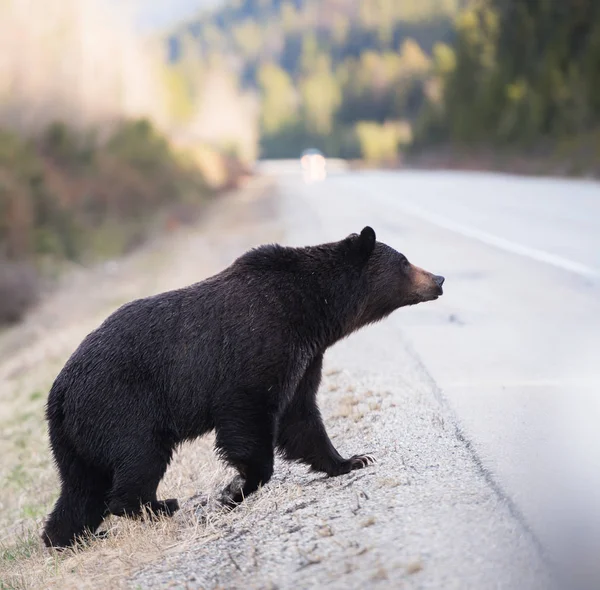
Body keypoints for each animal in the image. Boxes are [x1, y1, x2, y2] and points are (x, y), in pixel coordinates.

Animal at [42, 228, 442, 552]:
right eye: (404, 261)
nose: (438, 277)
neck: (312, 308)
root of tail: (59, 391)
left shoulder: (304, 357)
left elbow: (301, 417)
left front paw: (352, 460)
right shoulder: (259, 343)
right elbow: (250, 415)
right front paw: (234, 489)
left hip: (75, 436)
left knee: (80, 488)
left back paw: (69, 537)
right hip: (122, 407)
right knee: (137, 460)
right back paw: (159, 506)